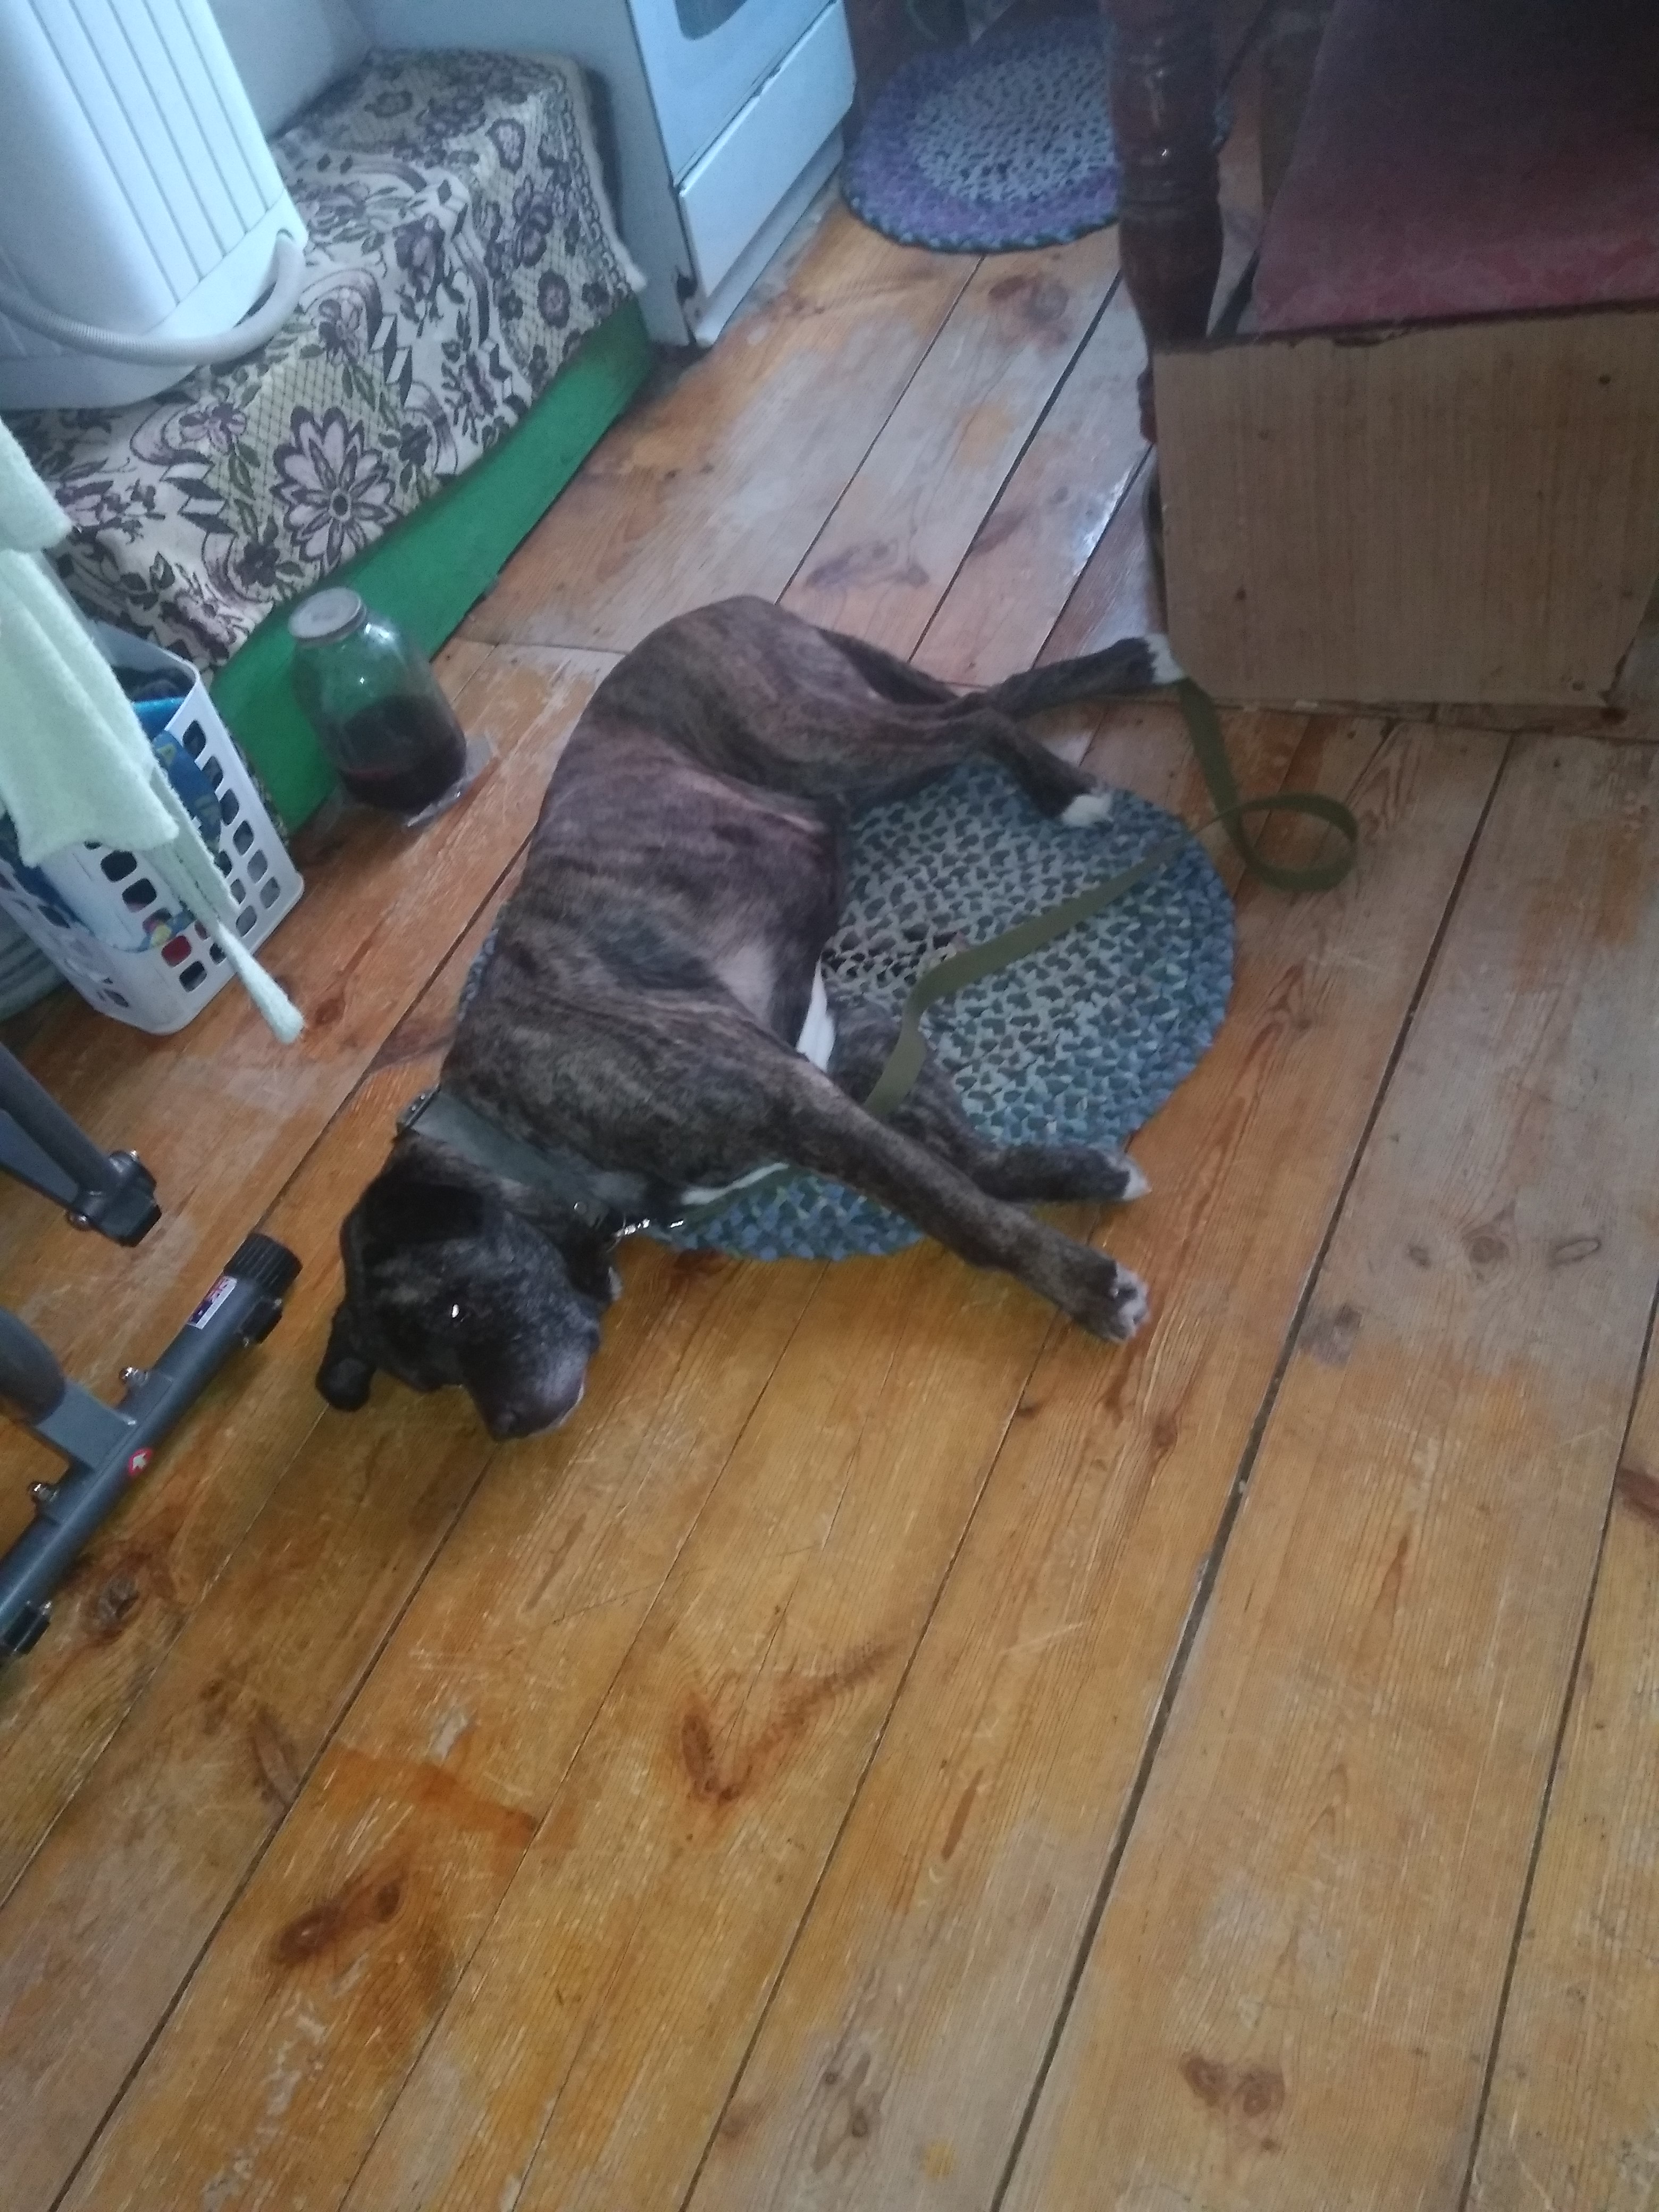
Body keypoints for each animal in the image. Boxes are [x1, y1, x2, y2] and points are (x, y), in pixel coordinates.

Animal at [317, 597, 1175, 1439]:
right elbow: (975, 1164)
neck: (506, 1132)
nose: (512, 1426)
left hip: (818, 742)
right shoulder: (849, 1047)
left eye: (456, 1309)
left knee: (975, 720)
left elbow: (960, 1212)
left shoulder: (797, 1104)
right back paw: (1132, 666)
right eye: (431, 1380)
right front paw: (1083, 1173)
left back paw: (1060, 787)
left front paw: (1087, 1289)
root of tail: (718, 607)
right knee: (986, 700)